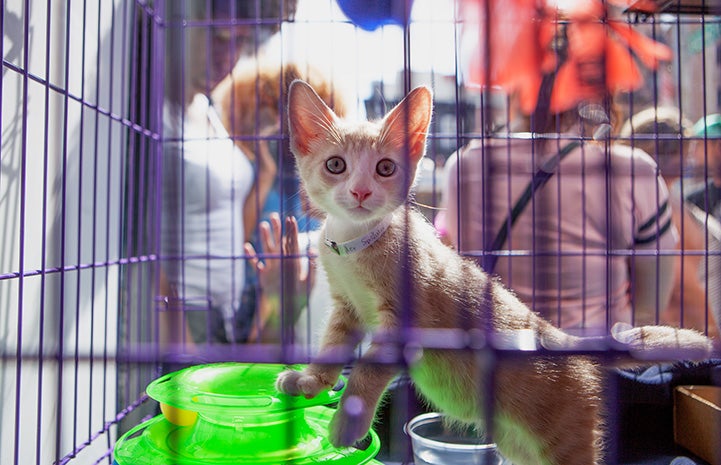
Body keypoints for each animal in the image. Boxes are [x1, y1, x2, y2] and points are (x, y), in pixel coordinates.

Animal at [272, 80, 712, 464]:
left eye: (384, 168)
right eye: (335, 165)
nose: (361, 192)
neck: (355, 243)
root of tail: (570, 344)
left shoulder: (406, 317)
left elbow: (368, 369)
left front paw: (348, 422)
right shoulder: (345, 305)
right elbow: (332, 344)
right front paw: (309, 381)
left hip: (565, 438)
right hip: (517, 443)